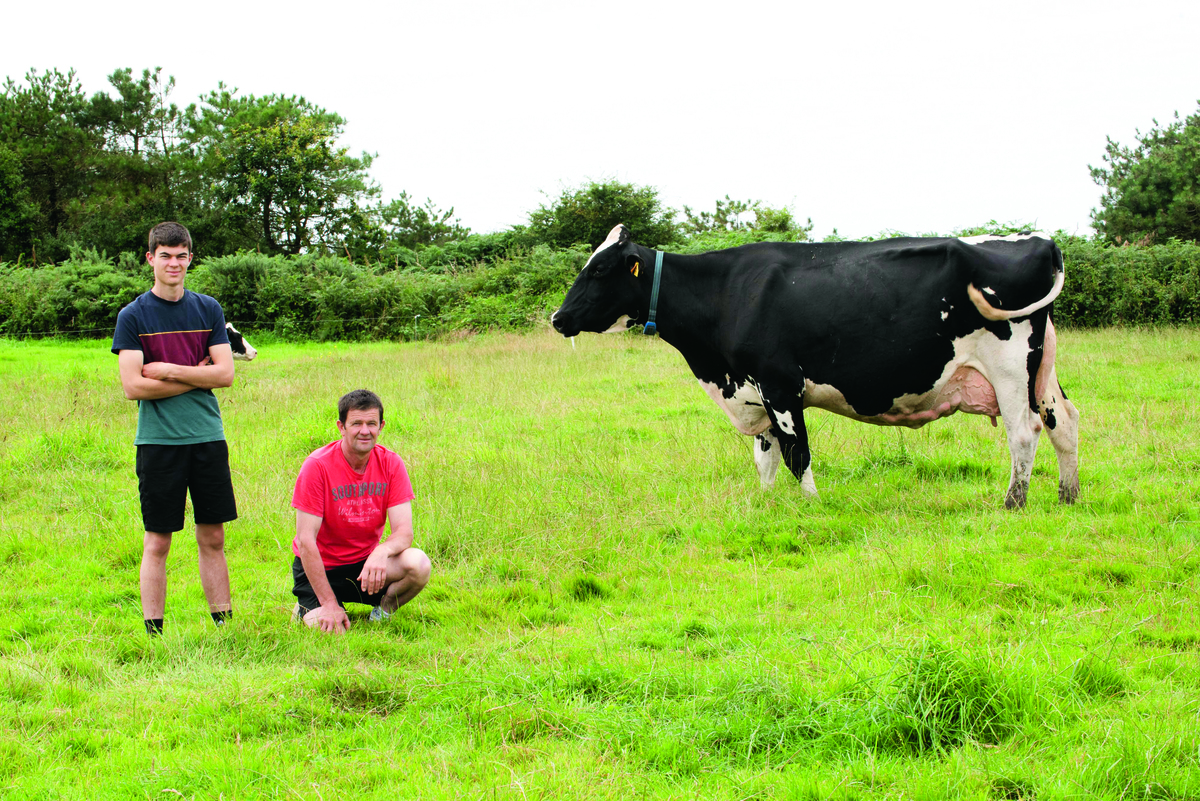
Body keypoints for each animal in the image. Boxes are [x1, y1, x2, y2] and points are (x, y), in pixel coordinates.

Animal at [549, 225, 1080, 510]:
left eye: (599, 269)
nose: (557, 317)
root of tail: (1040, 240)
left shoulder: (779, 385)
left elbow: (796, 454)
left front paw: (812, 507)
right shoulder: (753, 391)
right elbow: (765, 459)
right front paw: (767, 507)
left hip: (1010, 367)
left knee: (1024, 431)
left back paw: (1012, 503)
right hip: (1042, 369)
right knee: (1064, 422)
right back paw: (1067, 496)